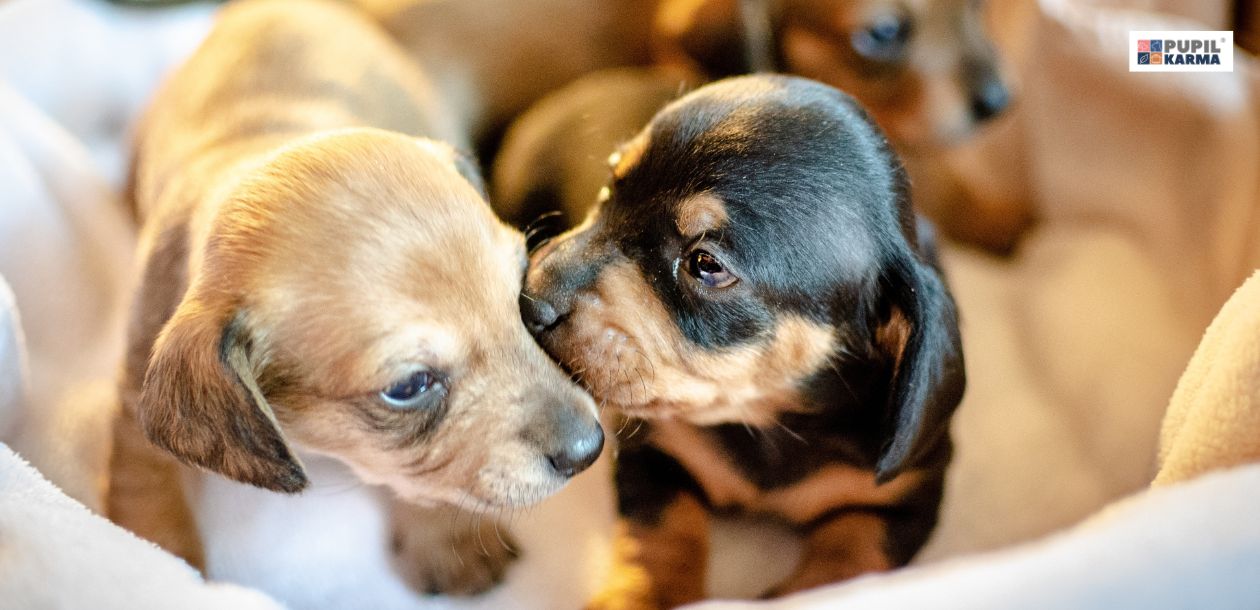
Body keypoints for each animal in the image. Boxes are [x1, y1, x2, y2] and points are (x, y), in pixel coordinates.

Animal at [104, 0, 604, 594]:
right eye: (408, 387)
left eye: (522, 296)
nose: (590, 449)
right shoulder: (134, 402)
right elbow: (145, 496)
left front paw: (447, 536)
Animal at [514, 76, 962, 604]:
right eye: (609, 187)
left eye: (705, 264)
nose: (529, 299)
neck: (769, 419)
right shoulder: (656, 451)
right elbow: (661, 534)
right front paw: (644, 597)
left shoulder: (906, 497)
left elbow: (854, 555)